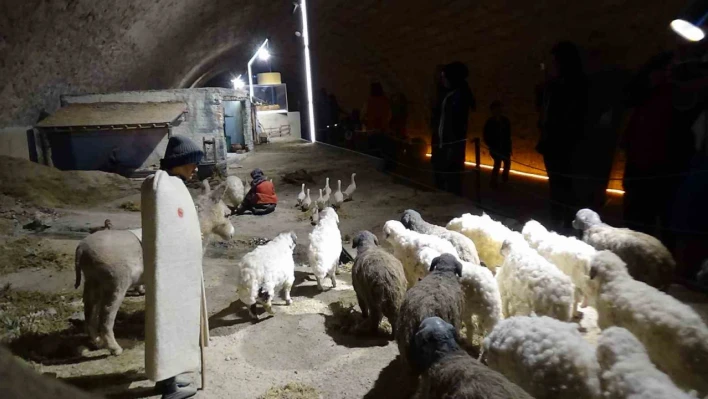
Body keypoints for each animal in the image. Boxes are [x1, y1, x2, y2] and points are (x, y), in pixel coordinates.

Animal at [76, 182, 234, 356]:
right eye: (227, 215)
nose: (232, 235)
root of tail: (82, 248)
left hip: (92, 281)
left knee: (89, 311)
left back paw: (97, 342)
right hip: (116, 283)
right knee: (106, 316)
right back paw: (114, 348)